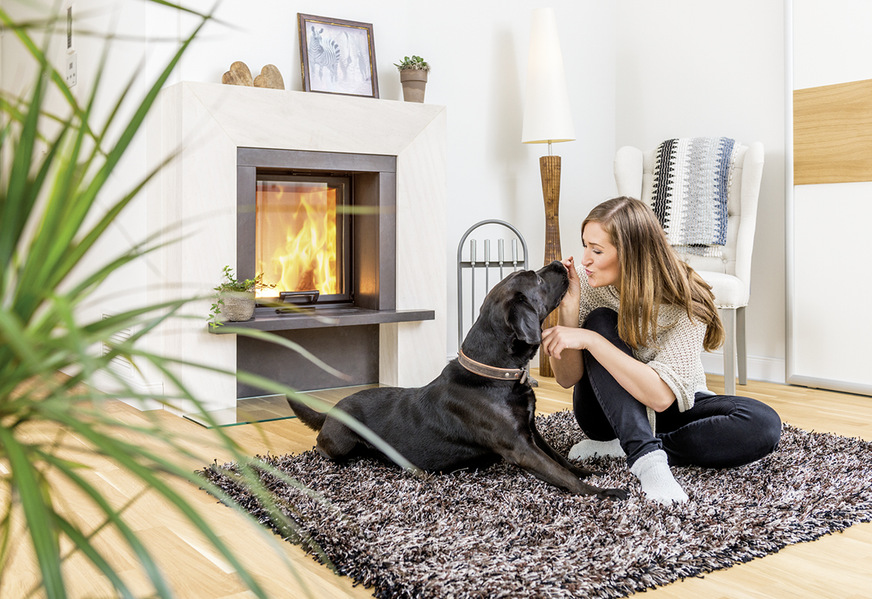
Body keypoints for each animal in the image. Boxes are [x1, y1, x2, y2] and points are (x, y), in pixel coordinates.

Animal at [292, 262, 628, 502]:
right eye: (535, 277)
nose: (559, 262)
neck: (495, 373)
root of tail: (331, 411)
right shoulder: (520, 447)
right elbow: (560, 473)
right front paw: (603, 492)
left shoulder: (532, 431)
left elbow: (560, 460)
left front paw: (587, 471)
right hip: (341, 443)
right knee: (322, 449)